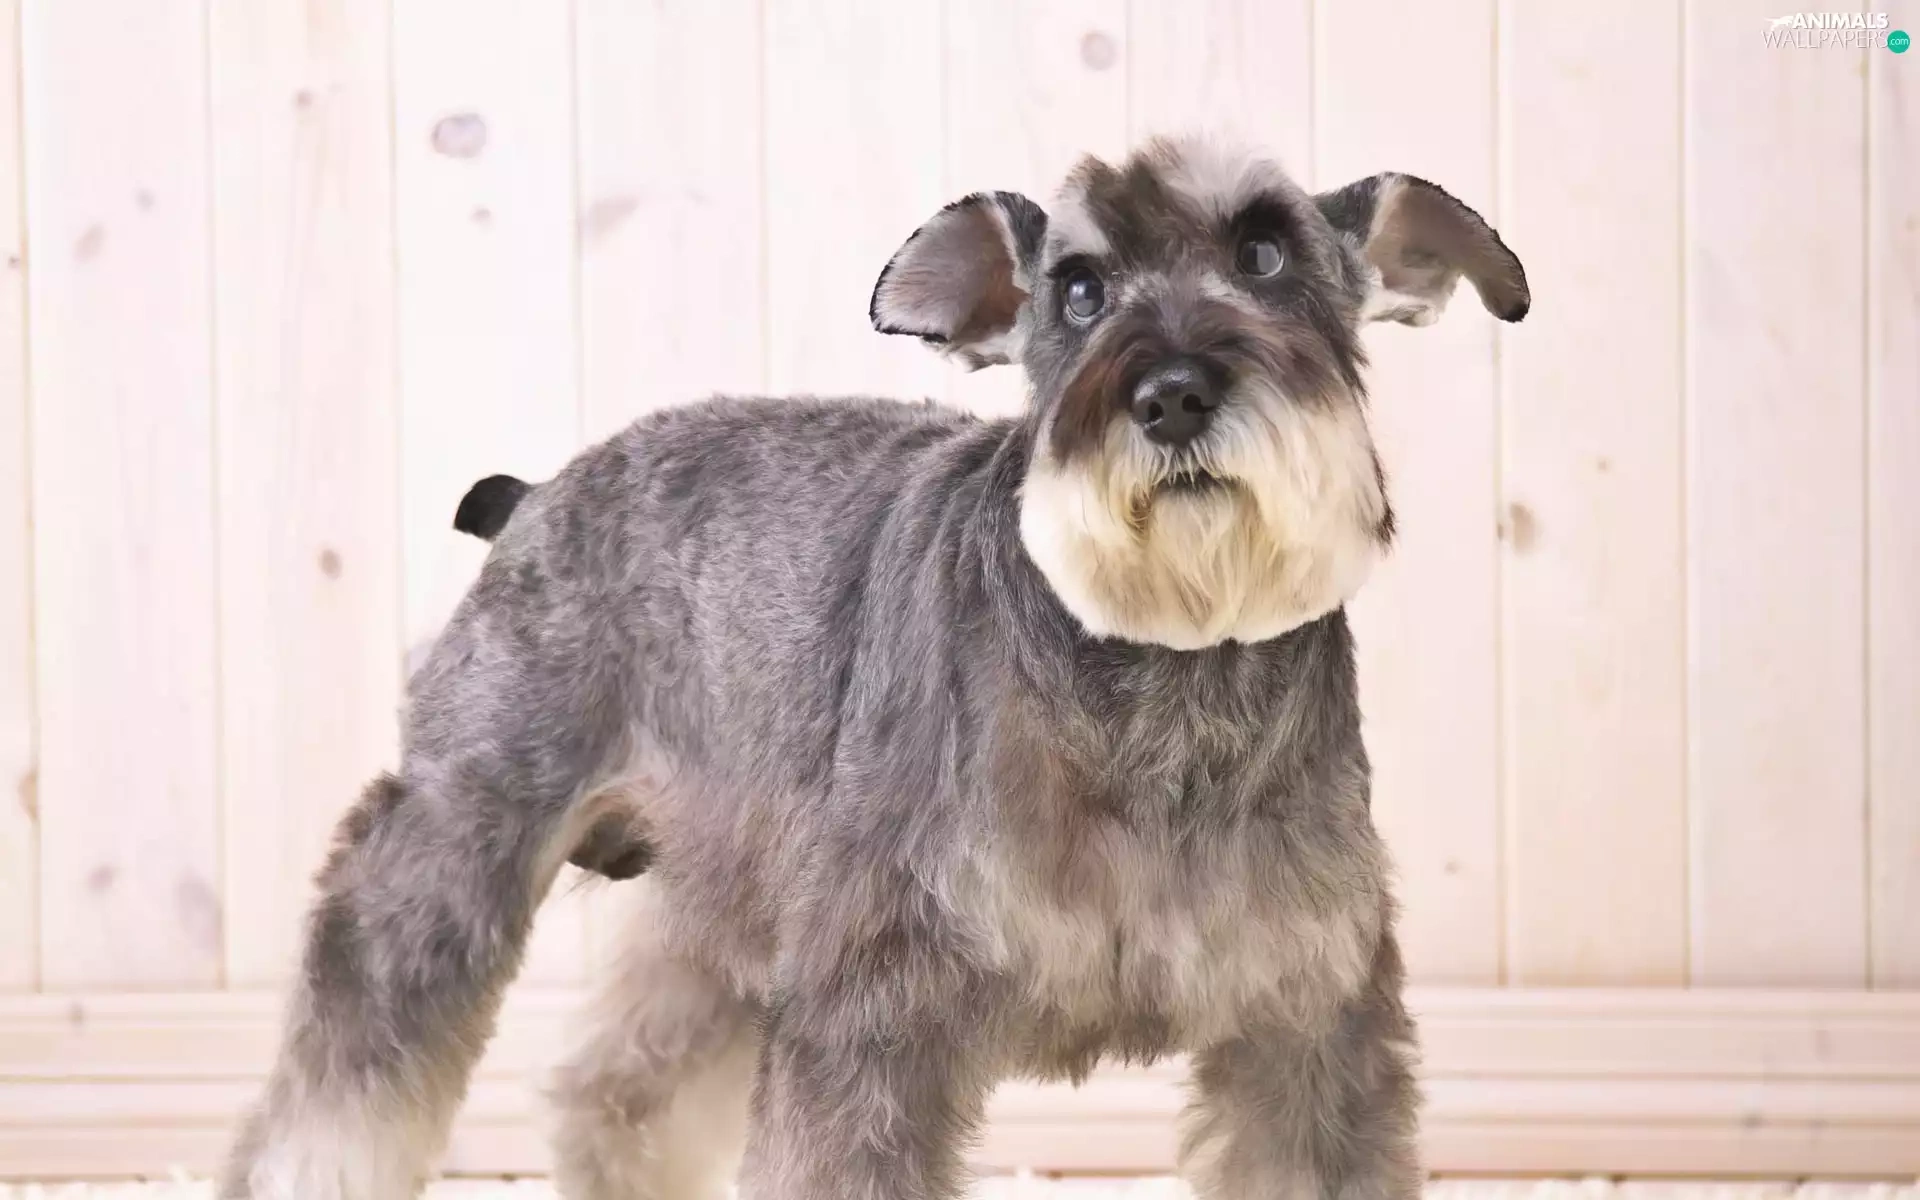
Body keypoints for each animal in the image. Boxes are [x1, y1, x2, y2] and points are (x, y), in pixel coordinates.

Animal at [221, 134, 1528, 1200]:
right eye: (1079, 290)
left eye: (1265, 255)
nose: (1170, 396)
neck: (1162, 669)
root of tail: (539, 497)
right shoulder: (872, 1012)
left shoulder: (1305, 1021)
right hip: (462, 832)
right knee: (345, 1066)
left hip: (728, 904)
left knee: (617, 1091)